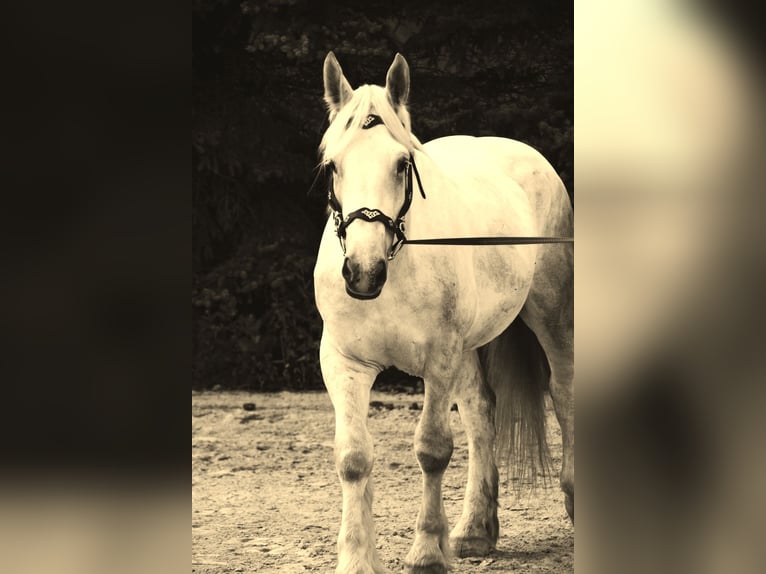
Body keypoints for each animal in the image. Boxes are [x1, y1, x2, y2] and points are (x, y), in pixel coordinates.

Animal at [313, 51, 573, 574]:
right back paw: (475, 530)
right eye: (333, 165)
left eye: (401, 164)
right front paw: (356, 558)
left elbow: (432, 450)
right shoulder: (344, 363)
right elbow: (353, 457)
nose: (363, 273)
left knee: (563, 391)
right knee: (480, 410)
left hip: (551, 315)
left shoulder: (439, 360)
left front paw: (427, 552)